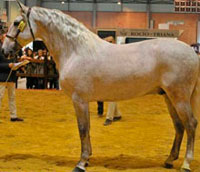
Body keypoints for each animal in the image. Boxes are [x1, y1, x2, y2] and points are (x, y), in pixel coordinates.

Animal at [1, 1, 200, 172]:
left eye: (17, 23)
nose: (5, 50)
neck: (76, 50)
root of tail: (192, 53)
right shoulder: (83, 101)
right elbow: (87, 129)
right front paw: (87, 158)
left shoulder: (79, 100)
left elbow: (82, 129)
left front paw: (81, 163)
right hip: (168, 96)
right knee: (179, 126)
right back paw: (169, 160)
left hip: (179, 97)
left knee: (190, 124)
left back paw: (186, 163)